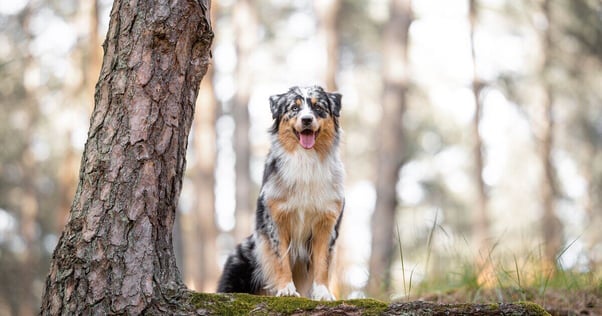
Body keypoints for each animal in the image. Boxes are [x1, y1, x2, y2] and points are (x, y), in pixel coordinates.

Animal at [218, 85, 344, 300]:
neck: (306, 160)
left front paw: (322, 292)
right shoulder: (275, 220)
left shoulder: (327, 223)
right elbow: (280, 258)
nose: (307, 119)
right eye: (294, 108)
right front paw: (286, 289)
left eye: (318, 107)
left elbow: (323, 262)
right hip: (242, 256)